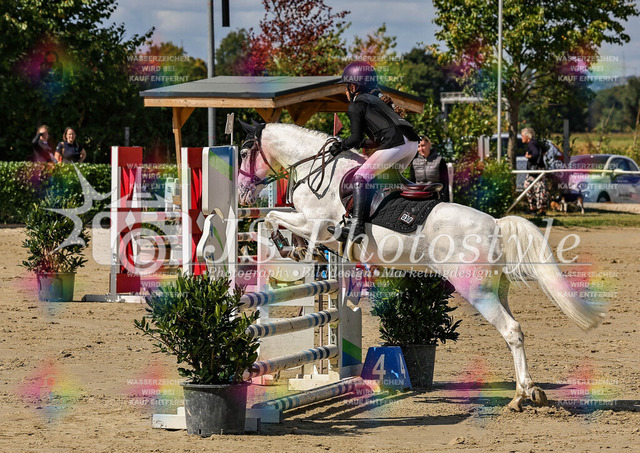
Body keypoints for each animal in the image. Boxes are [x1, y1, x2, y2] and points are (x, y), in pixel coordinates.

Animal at [237, 121, 605, 411]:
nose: (242, 194)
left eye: (243, 153)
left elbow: (272, 217)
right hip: (497, 289)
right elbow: (275, 217)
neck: (320, 170)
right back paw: (522, 393)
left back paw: (525, 394)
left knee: (511, 331)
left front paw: (289, 245)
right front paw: (296, 248)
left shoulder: (317, 225)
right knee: (516, 330)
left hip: (476, 290)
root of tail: (496, 225)